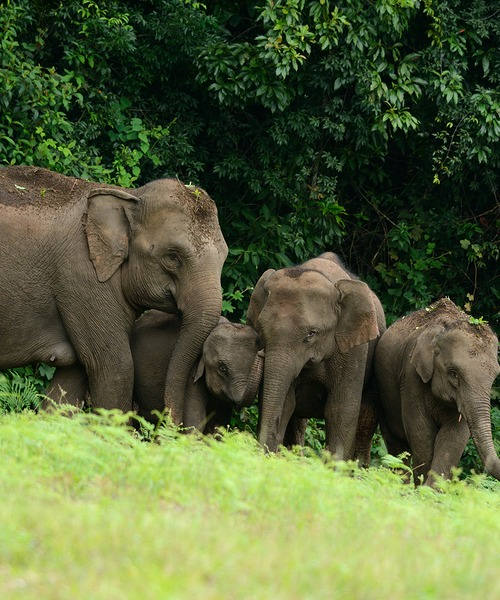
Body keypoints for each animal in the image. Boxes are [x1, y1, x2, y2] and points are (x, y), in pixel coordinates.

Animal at [0, 164, 227, 418]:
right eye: (172, 257)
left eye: (224, 258)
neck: (129, 195)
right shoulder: (82, 279)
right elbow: (114, 366)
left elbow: (73, 379)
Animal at [376, 298, 500, 486]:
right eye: (453, 373)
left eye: (494, 377)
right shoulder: (411, 376)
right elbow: (421, 431)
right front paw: (423, 487)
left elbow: (455, 436)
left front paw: (433, 488)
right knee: (396, 442)